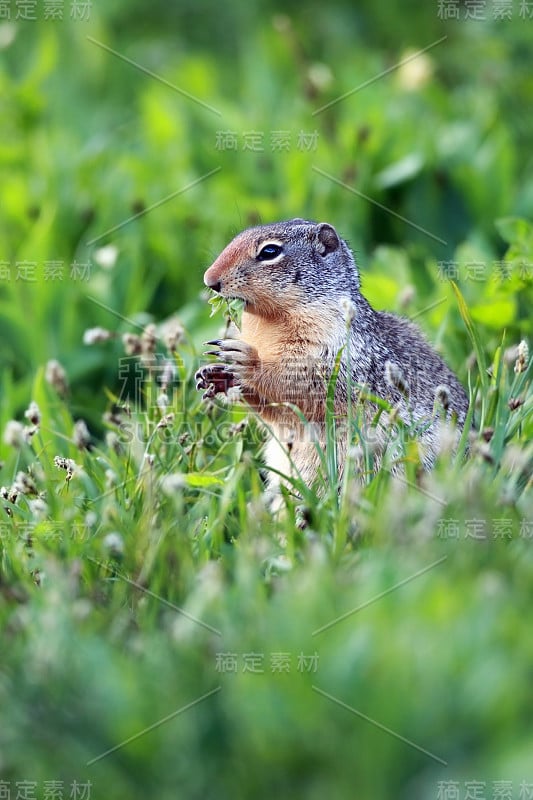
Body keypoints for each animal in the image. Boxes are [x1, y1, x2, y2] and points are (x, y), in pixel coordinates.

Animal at [194, 220, 466, 494]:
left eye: (270, 252)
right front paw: (215, 376)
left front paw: (246, 360)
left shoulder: (335, 355)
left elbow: (302, 385)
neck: (270, 323)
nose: (209, 279)